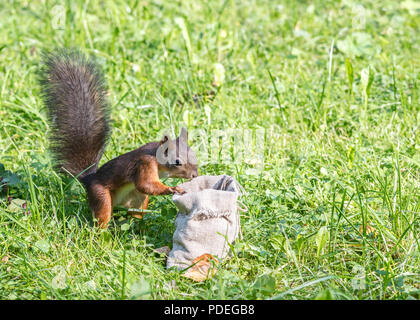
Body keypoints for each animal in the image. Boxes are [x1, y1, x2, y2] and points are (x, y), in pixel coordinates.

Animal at [37, 48, 199, 228]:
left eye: (194, 154)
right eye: (177, 162)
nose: (195, 175)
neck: (157, 161)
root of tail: (89, 179)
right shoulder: (144, 164)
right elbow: (145, 184)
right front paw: (173, 189)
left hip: (137, 200)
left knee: (135, 212)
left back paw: (137, 225)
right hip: (101, 196)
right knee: (103, 214)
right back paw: (103, 231)